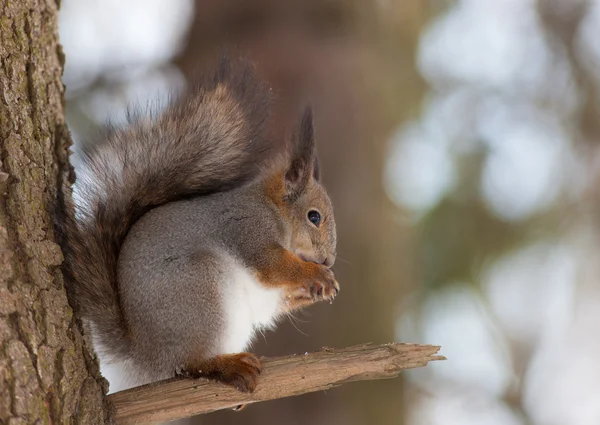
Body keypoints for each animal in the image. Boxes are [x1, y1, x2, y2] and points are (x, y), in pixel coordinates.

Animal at [58, 57, 340, 394]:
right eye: (314, 217)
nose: (329, 260)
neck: (273, 211)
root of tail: (146, 356)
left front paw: (317, 288)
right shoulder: (247, 228)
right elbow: (271, 266)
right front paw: (318, 274)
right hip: (201, 289)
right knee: (189, 364)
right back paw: (225, 365)